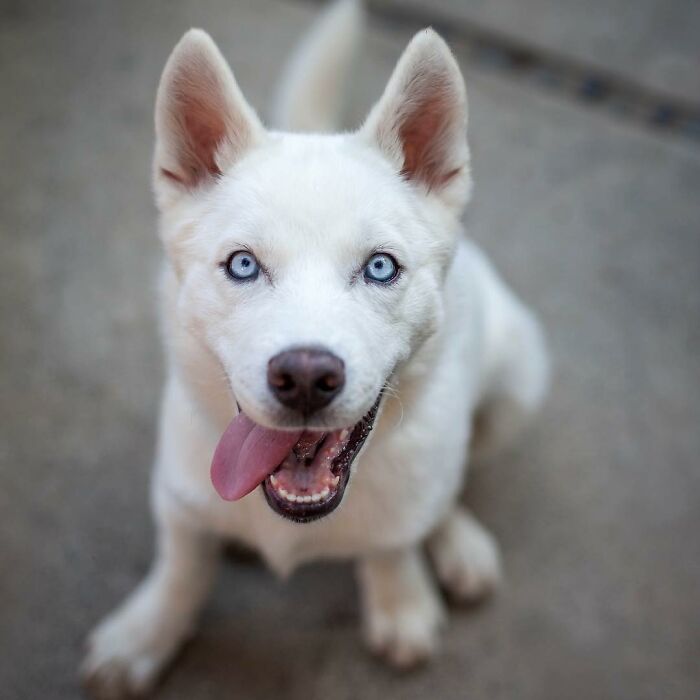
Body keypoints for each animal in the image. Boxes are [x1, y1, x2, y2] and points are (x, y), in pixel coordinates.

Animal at [85, 0, 548, 696]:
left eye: (381, 267)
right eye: (243, 264)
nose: (305, 377)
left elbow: (394, 539)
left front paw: (399, 597)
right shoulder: (178, 490)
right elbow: (182, 562)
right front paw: (146, 632)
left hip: (520, 377)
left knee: (451, 484)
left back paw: (456, 542)